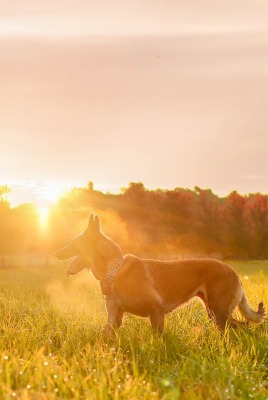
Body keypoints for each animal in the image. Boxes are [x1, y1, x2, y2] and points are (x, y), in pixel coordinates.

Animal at [55, 214, 266, 336]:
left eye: (73, 242)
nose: (56, 253)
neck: (115, 269)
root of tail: (234, 272)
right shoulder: (114, 318)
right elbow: (104, 336)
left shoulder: (156, 312)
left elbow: (157, 340)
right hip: (215, 312)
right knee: (242, 326)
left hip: (218, 312)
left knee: (240, 328)